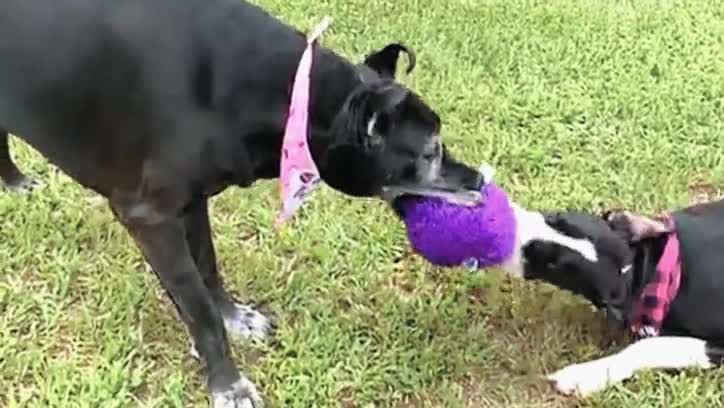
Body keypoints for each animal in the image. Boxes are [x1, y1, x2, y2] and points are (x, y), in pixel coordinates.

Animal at [1, 1, 486, 406]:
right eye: (429, 155)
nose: (480, 181)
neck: (292, 101)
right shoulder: (151, 218)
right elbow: (198, 308)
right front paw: (227, 384)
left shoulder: (192, 203)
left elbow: (208, 271)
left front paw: (234, 316)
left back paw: (14, 181)